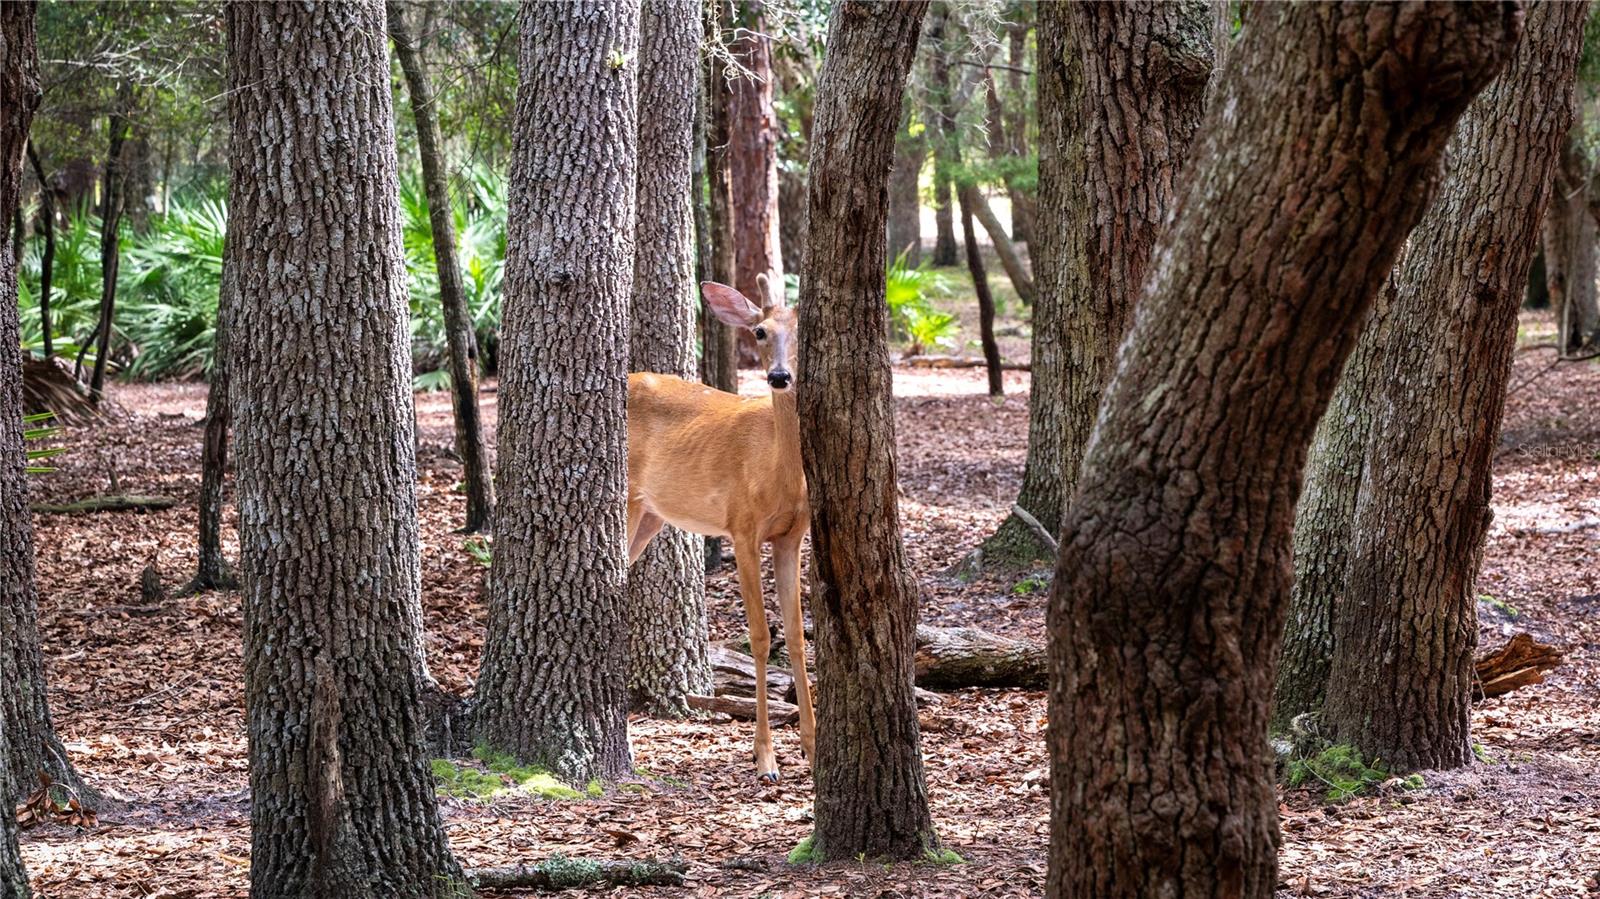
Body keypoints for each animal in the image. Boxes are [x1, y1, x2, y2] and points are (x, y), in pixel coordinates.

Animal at [624, 271, 812, 777]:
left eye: (805, 332)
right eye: (760, 331)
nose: (780, 376)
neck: (778, 469)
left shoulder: (792, 536)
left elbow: (796, 636)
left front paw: (813, 745)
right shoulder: (742, 527)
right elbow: (761, 637)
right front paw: (765, 756)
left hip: (651, 515)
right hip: (626, 500)